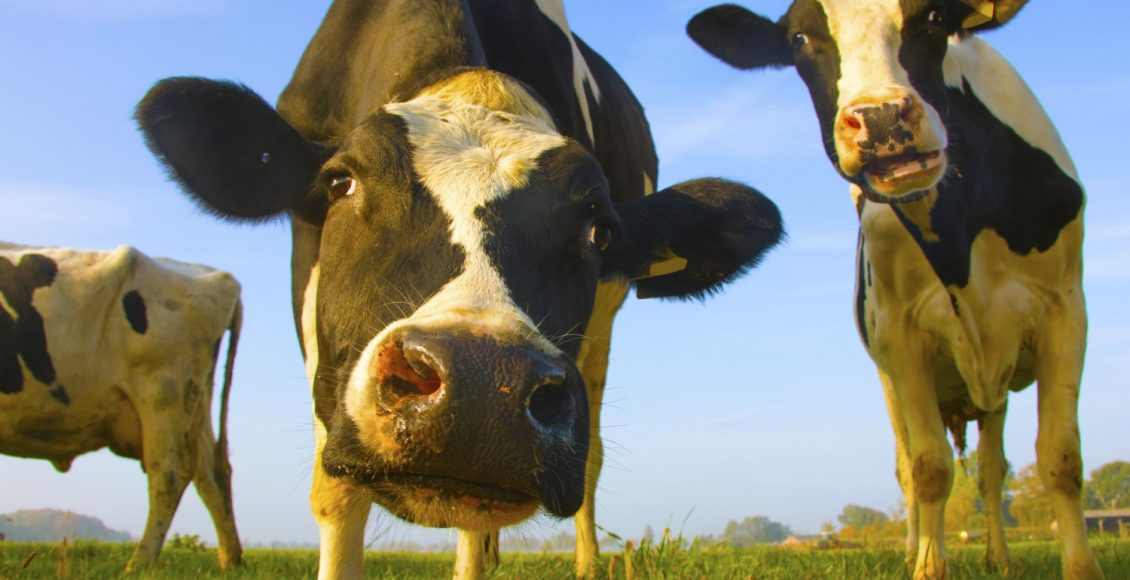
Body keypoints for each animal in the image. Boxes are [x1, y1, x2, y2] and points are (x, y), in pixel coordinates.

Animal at [0, 243, 242, 571]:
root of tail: (220, 277)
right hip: (194, 401)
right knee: (209, 473)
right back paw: (230, 561)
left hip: (162, 390)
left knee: (170, 472)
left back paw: (139, 563)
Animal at [687, 1, 1101, 578]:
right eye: (798, 39)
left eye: (934, 18)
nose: (882, 117)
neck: (959, 239)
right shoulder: (901, 339)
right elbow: (928, 469)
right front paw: (927, 565)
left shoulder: (1066, 310)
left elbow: (1060, 457)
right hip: (891, 382)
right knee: (910, 467)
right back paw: (915, 548)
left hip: (994, 384)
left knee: (991, 469)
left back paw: (997, 557)